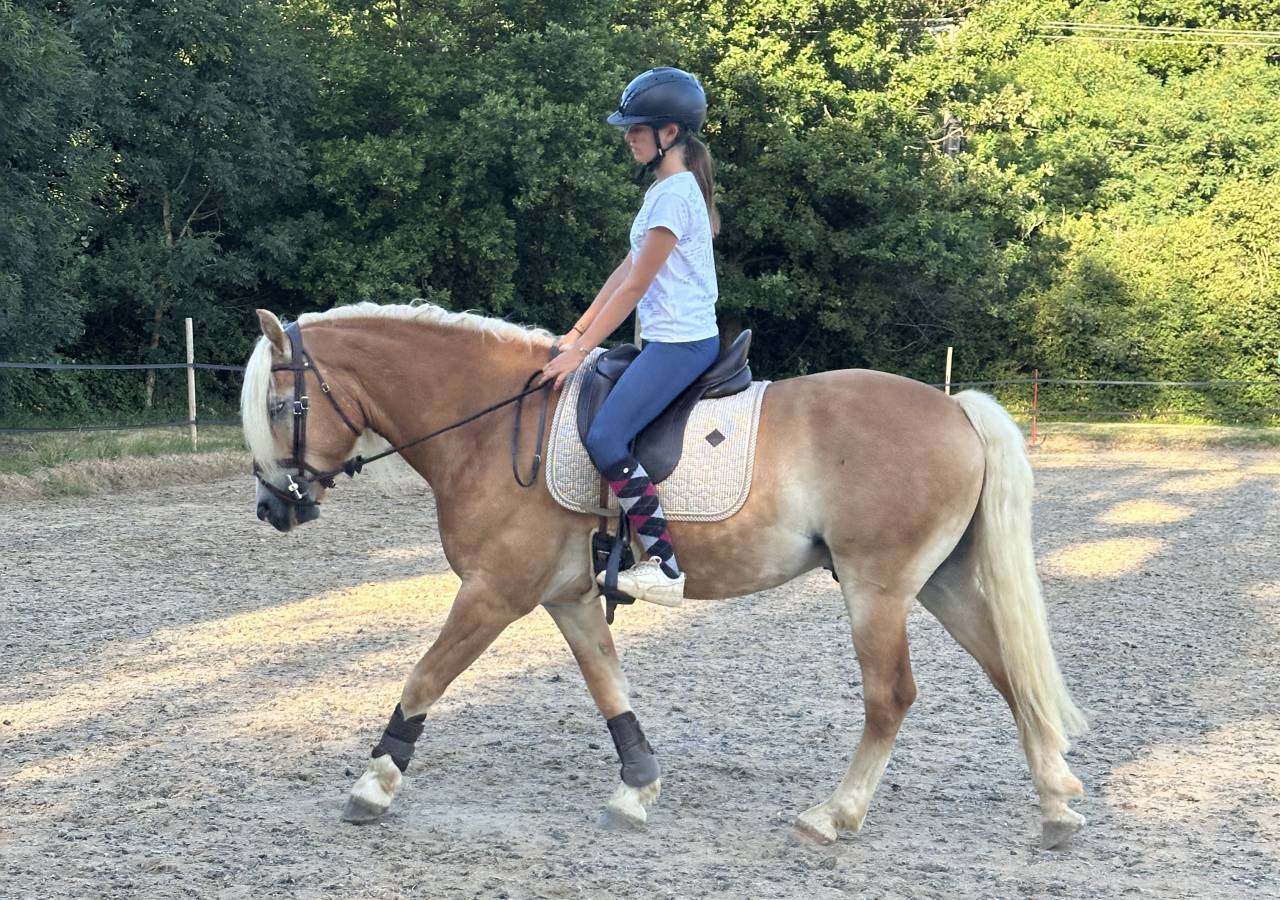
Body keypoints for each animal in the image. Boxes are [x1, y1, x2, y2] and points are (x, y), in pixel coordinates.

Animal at [240, 301, 1089, 848]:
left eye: (284, 405)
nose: (272, 509)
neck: (489, 425)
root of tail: (955, 409)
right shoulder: (568, 597)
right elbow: (609, 687)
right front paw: (636, 789)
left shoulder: (494, 593)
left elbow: (423, 677)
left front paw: (373, 785)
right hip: (940, 583)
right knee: (1009, 674)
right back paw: (1055, 806)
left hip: (875, 589)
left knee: (892, 699)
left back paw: (834, 816)